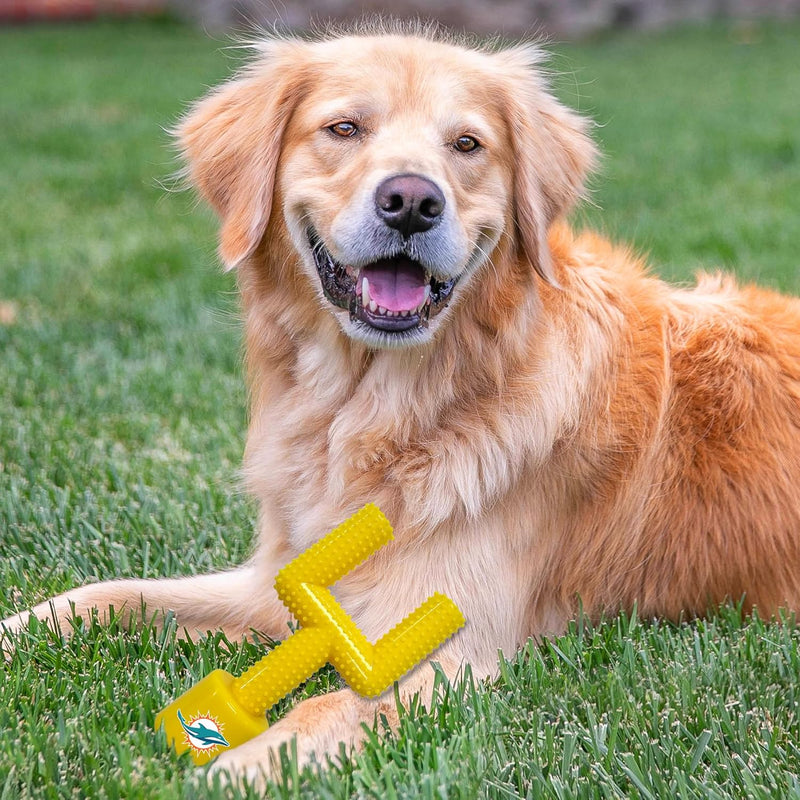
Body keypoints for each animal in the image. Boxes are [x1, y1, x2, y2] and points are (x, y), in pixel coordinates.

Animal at [4, 21, 800, 784]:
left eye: (467, 144)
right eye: (344, 129)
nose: (412, 201)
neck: (370, 411)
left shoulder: (446, 649)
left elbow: (323, 710)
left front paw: (232, 770)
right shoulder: (285, 585)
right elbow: (106, 595)